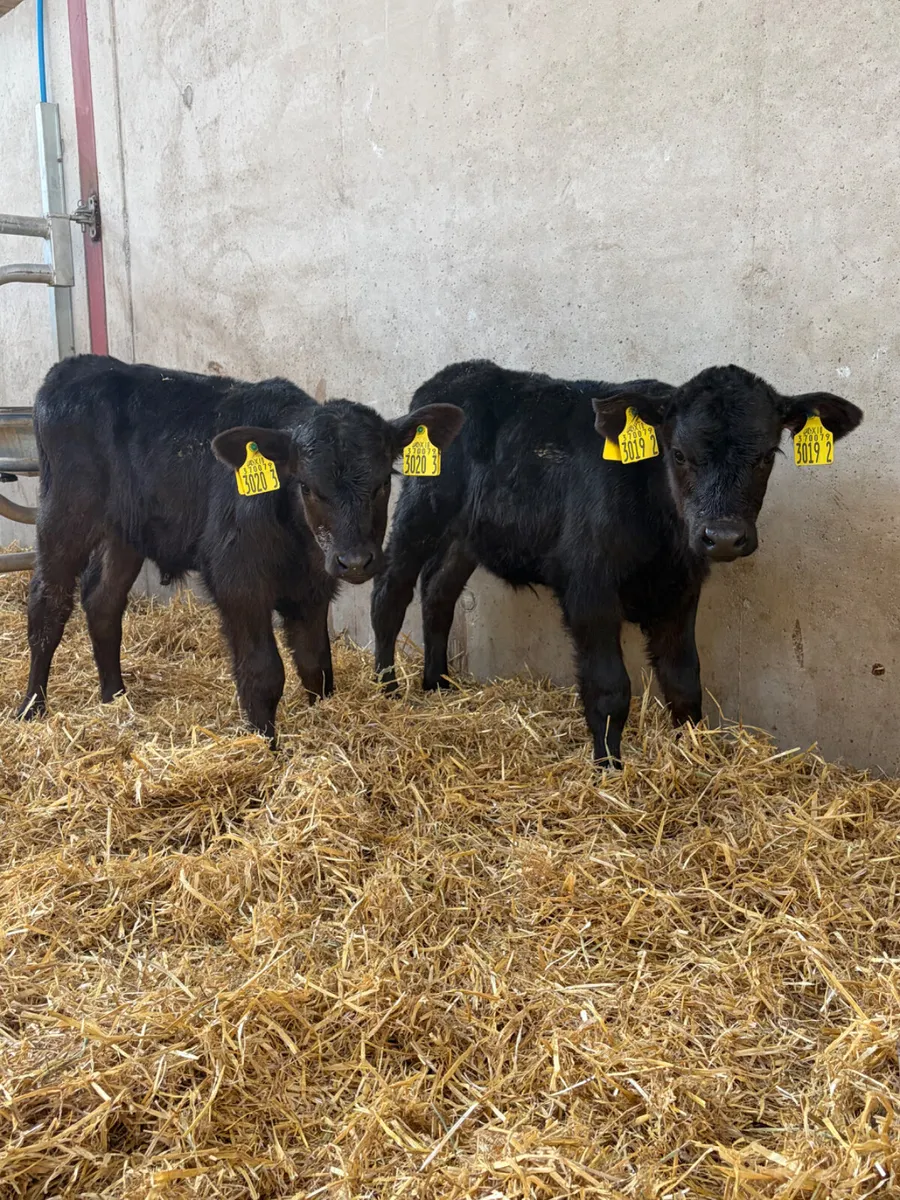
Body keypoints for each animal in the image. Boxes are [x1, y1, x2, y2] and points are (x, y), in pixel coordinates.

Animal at [17, 354, 464, 743]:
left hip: (125, 533)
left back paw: (114, 697)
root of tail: (77, 364)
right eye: (307, 487)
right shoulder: (238, 581)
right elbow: (263, 672)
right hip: (64, 514)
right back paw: (31, 708)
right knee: (47, 603)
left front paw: (321, 718)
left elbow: (316, 664)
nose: (354, 561)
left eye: (384, 482)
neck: (296, 543)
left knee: (103, 602)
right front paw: (266, 747)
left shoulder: (312, 588)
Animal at [370, 360, 862, 766]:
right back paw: (386, 687)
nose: (722, 536)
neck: (661, 536)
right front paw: (608, 768)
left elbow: (684, 680)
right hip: (422, 506)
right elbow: (610, 688)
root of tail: (455, 375)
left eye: (765, 456)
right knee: (390, 592)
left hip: (466, 533)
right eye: (678, 453)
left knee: (439, 591)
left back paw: (437, 684)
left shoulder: (681, 590)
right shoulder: (588, 590)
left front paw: (691, 754)